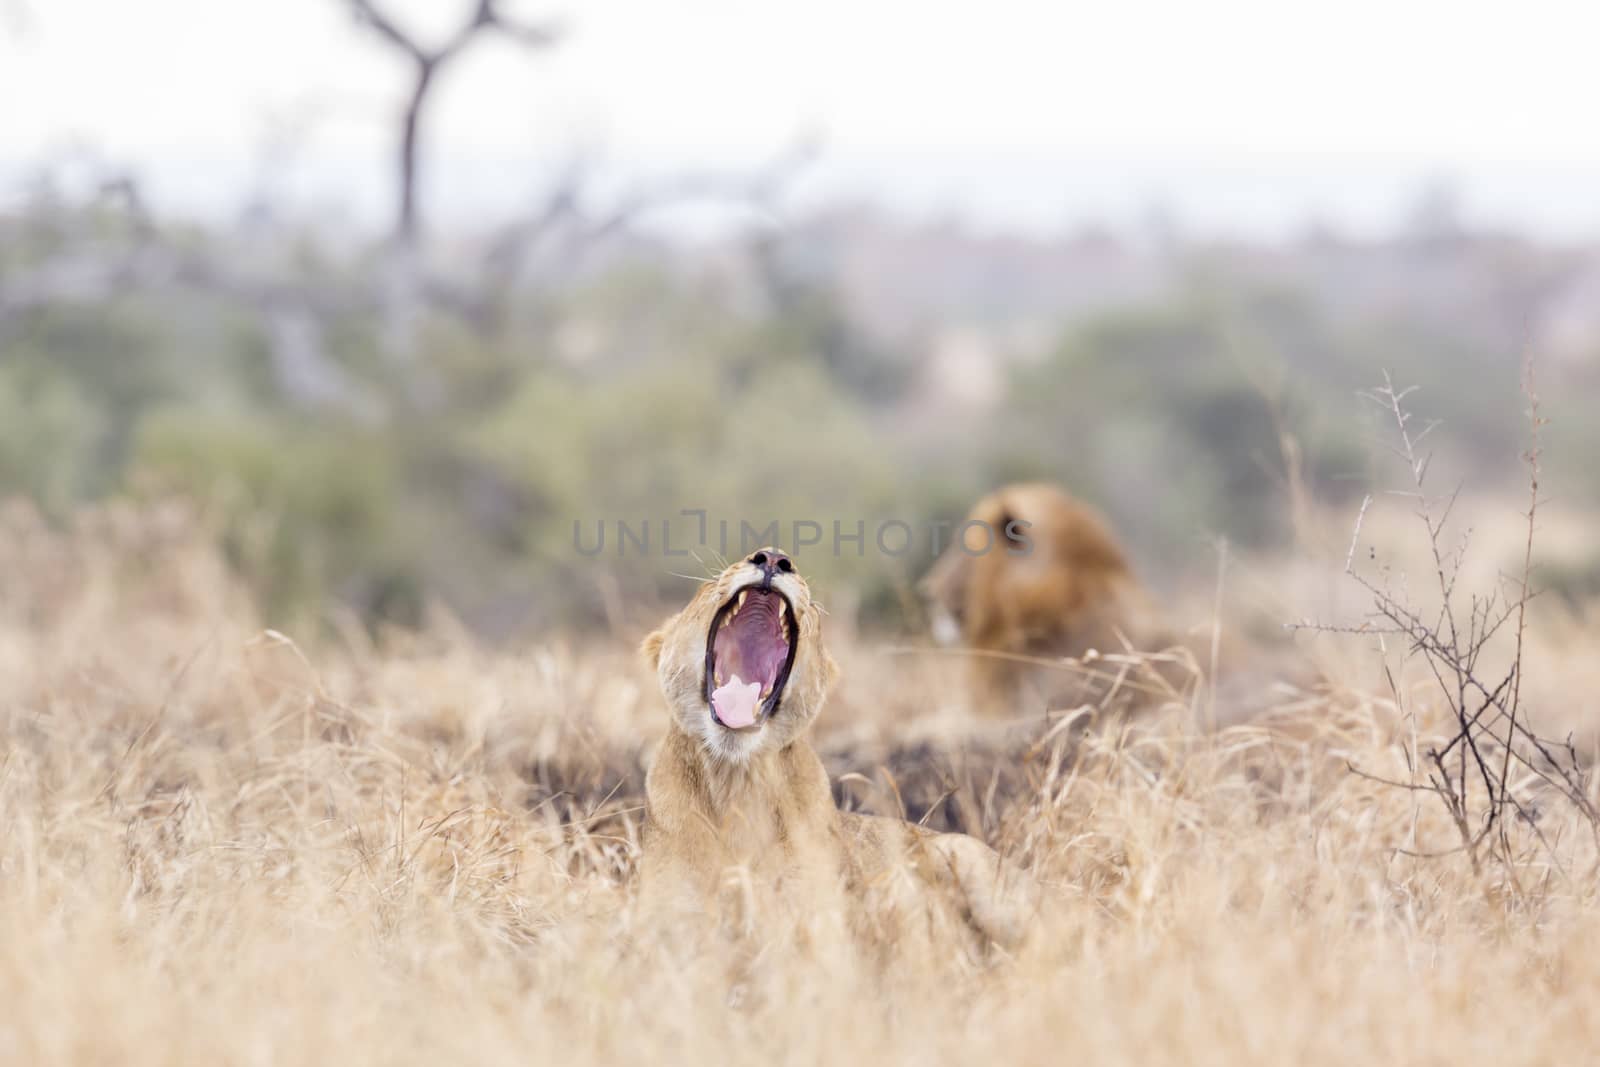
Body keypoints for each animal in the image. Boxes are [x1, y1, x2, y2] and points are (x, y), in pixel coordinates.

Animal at [636, 550, 1036, 953]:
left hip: (976, 867)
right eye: (705, 587)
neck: (736, 781)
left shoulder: (820, 922)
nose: (774, 558)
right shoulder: (666, 925)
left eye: (812, 606)